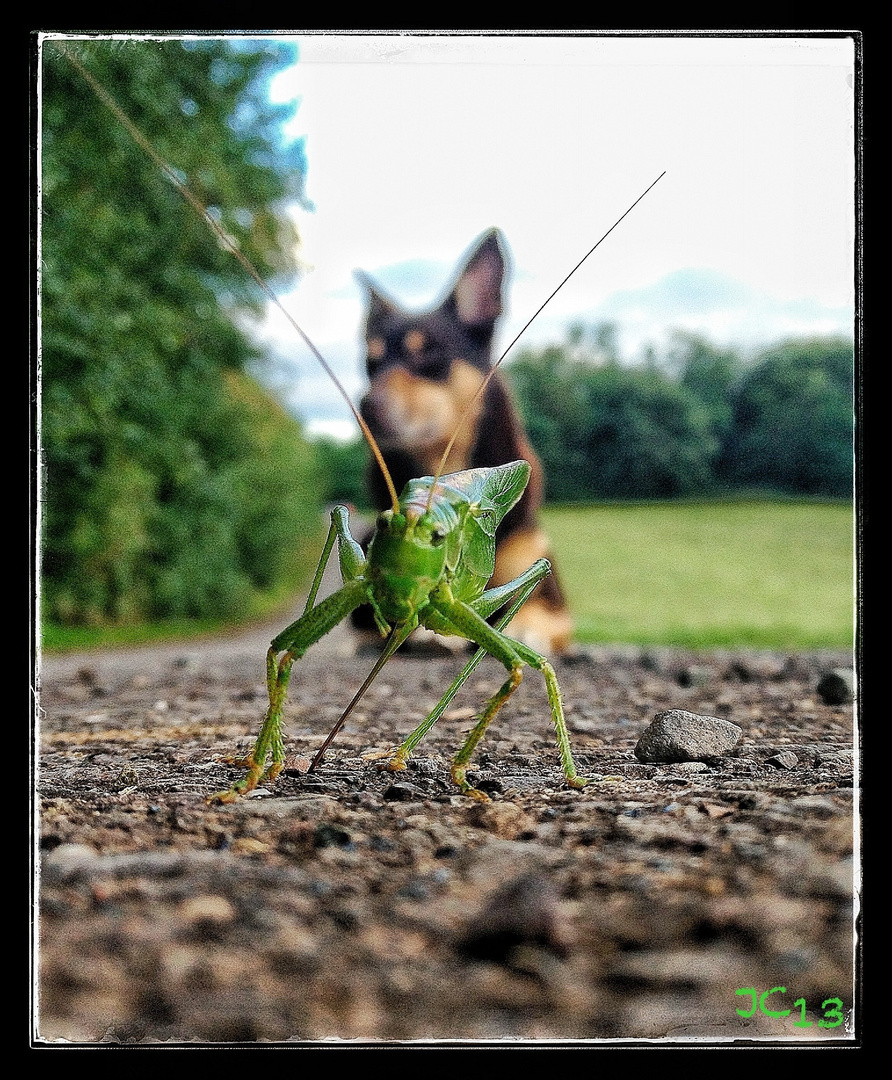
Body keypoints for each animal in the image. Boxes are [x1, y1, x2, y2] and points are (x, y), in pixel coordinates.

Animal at [352, 227, 570, 652]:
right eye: (370, 363)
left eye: (428, 353)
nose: (366, 406)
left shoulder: (551, 598)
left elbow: (538, 617)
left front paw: (524, 629)